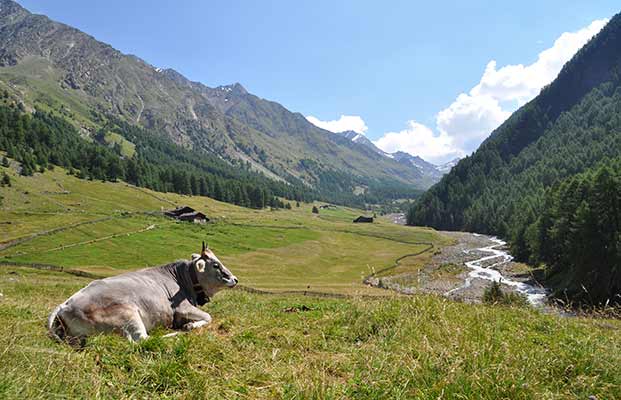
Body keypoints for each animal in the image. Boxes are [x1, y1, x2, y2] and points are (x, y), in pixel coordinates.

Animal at [47, 242, 237, 346]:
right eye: (216, 265)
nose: (235, 279)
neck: (184, 280)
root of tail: (65, 305)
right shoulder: (182, 308)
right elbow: (209, 316)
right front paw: (189, 326)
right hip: (128, 315)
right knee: (143, 340)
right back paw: (174, 334)